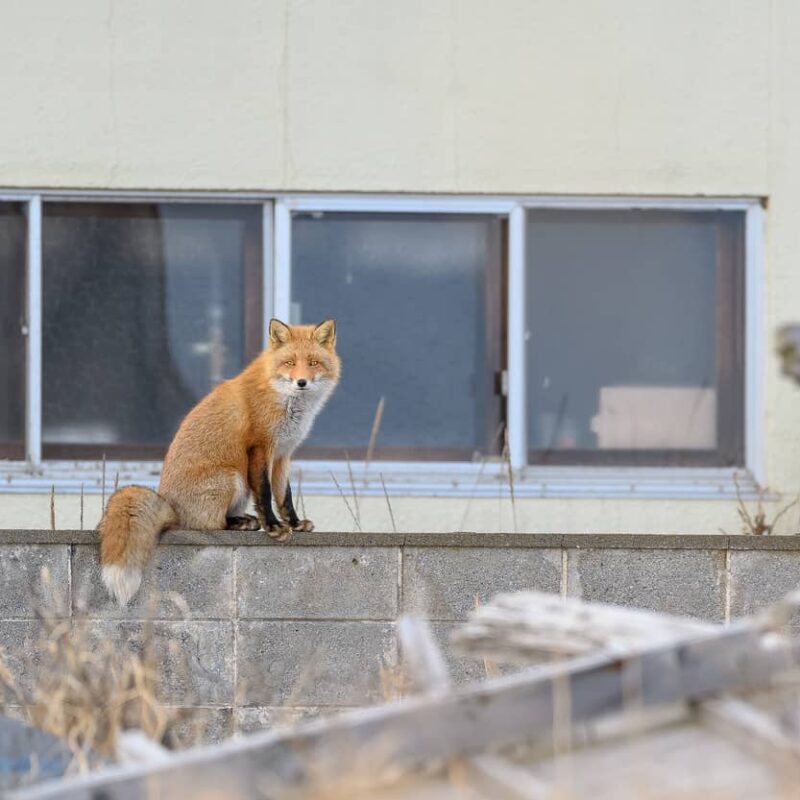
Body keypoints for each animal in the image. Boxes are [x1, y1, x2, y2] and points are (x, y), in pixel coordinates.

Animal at [98, 318, 340, 608]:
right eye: (290, 362)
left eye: (313, 362)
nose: (301, 382)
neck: (283, 399)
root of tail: (171, 507)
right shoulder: (260, 448)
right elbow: (265, 493)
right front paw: (273, 527)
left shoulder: (283, 454)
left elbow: (285, 496)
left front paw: (294, 523)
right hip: (232, 477)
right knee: (211, 525)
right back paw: (242, 523)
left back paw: (244, 521)